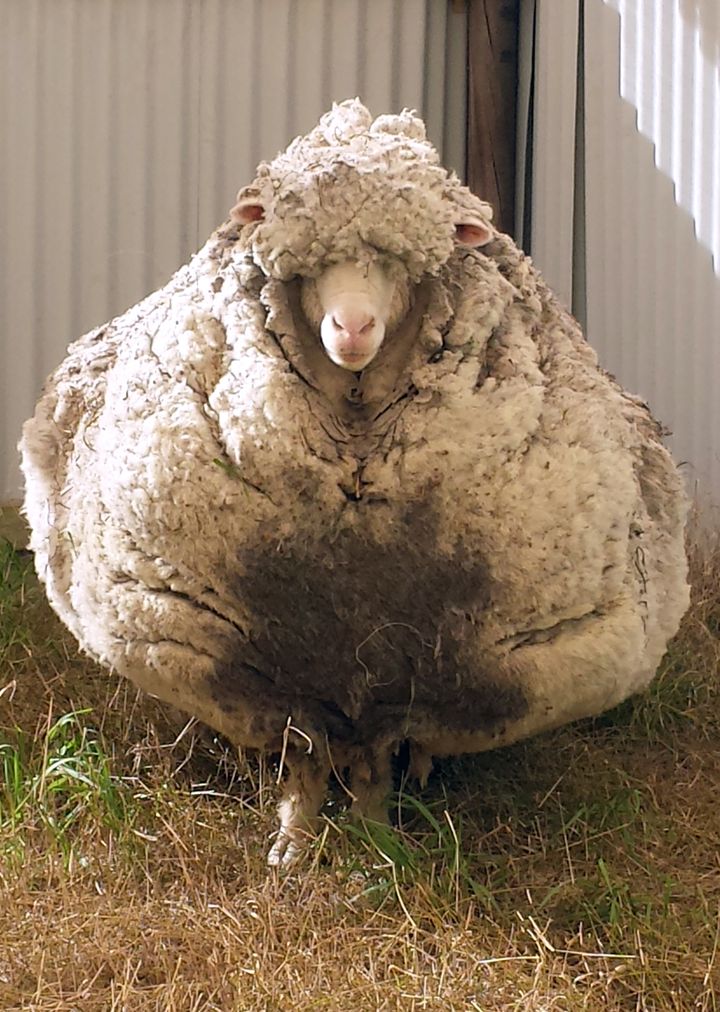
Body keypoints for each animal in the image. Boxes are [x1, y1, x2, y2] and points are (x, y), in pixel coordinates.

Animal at [19, 98, 688, 866]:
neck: (357, 436)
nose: (353, 327)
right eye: (309, 268)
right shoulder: (276, 674)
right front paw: (292, 847)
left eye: (400, 266)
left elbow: (377, 763)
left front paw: (375, 846)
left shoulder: (408, 684)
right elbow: (305, 759)